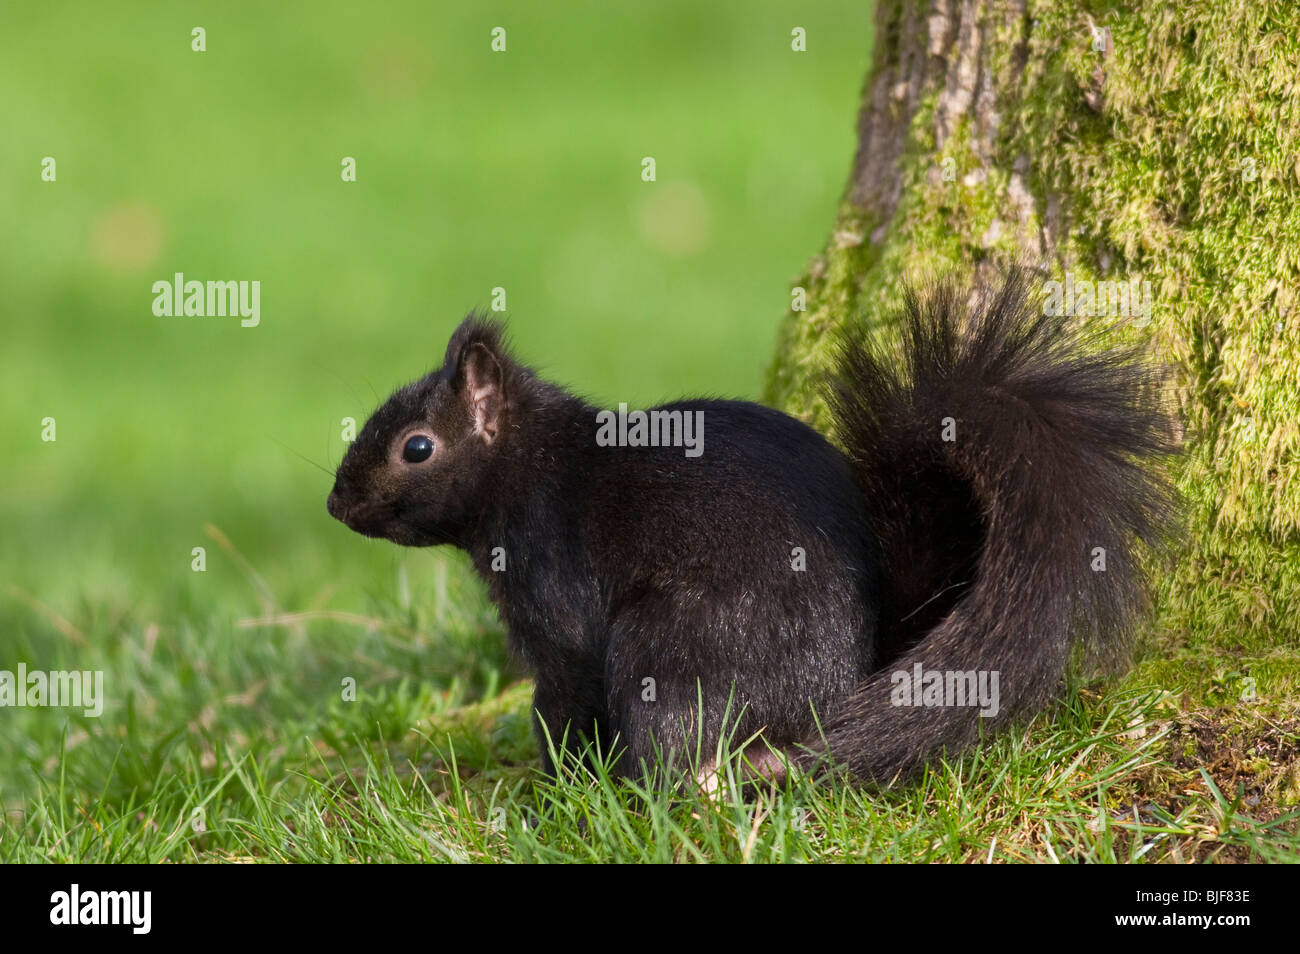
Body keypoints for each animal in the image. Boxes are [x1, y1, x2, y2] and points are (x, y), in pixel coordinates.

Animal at [327, 272, 1180, 790]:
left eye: (416, 448)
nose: (337, 505)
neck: (530, 467)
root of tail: (833, 696)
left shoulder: (556, 593)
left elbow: (561, 692)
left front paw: (562, 788)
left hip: (676, 649)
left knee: (693, 757)